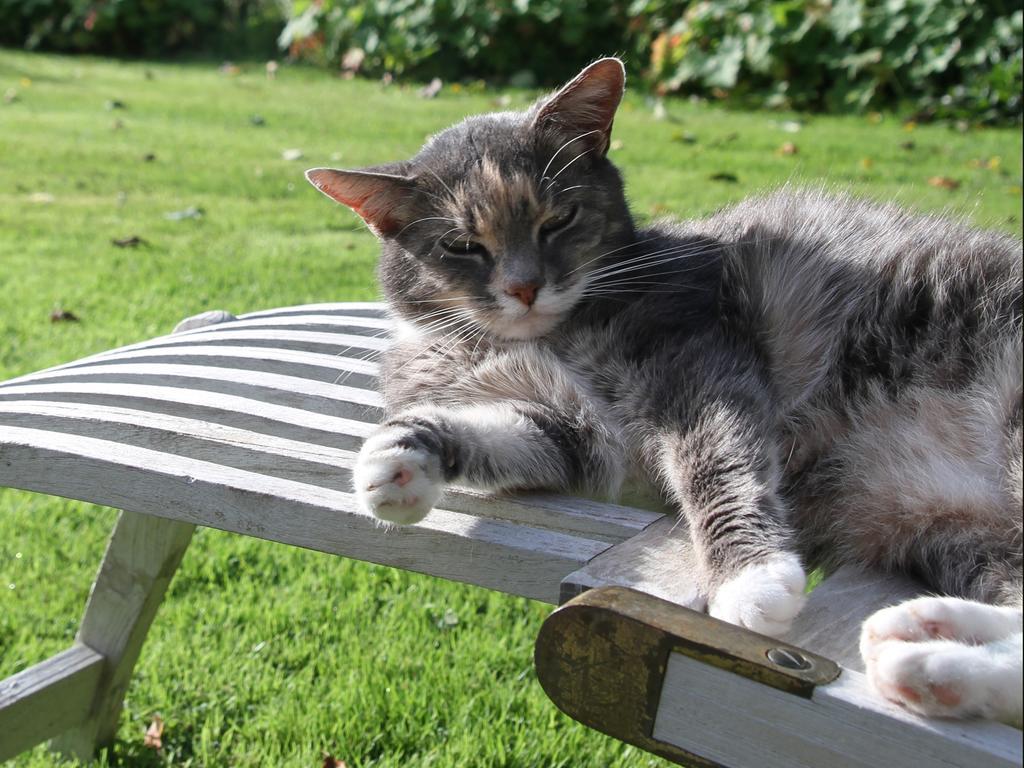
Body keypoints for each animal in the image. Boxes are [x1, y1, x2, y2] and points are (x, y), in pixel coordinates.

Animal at [305, 57, 1024, 724]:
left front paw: (751, 577)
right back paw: (929, 652)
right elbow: (505, 435)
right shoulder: (580, 439)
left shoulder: (697, 361)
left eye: (558, 219)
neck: (537, 340)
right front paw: (395, 460)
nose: (525, 287)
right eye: (461, 244)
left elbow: (716, 461)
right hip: (964, 537)